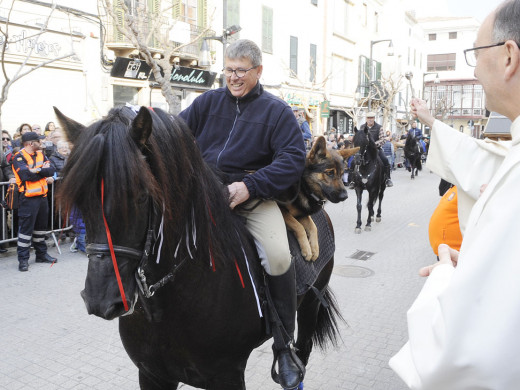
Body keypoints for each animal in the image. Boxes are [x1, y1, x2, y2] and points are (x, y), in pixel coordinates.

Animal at [55, 106, 342, 390]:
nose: (101, 301)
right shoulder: (152, 375)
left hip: (309, 306)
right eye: (80, 199)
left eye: (141, 196)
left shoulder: (227, 377)